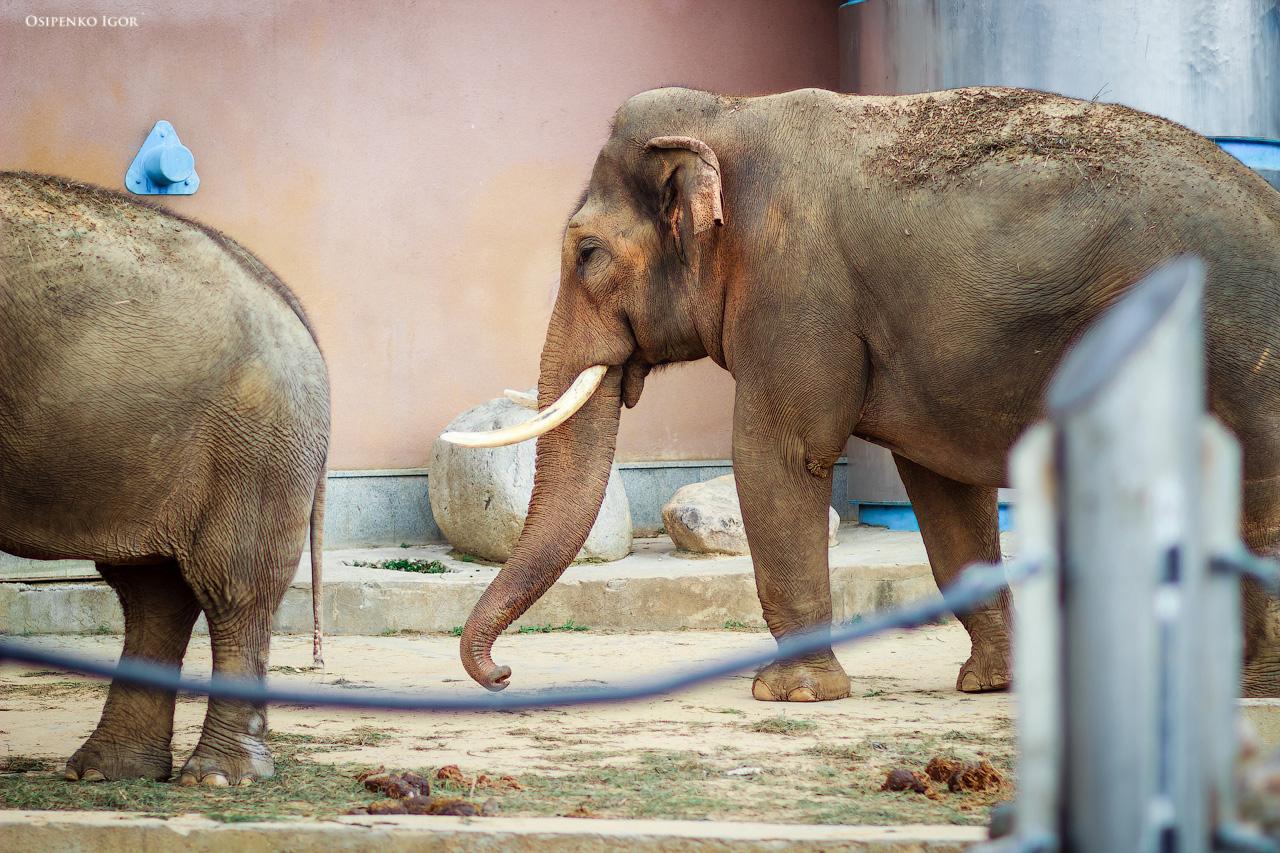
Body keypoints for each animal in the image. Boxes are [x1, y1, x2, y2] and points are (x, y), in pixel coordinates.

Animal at [0, 171, 330, 783]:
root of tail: (286, 296)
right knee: (152, 589)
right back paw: (106, 772)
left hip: (254, 443)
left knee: (232, 584)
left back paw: (218, 777)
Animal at [443, 86, 1280, 702]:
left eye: (586, 252)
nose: (504, 675)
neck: (729, 113)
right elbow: (943, 492)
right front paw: (991, 686)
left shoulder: (795, 288)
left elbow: (780, 456)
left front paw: (790, 695)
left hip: (1238, 338)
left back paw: (1250, 688)